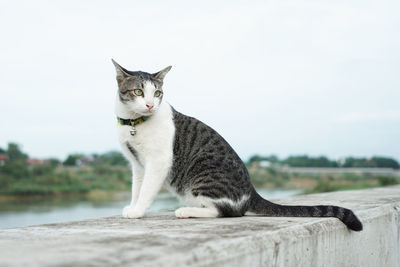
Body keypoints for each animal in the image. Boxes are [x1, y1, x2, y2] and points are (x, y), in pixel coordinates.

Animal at [111, 59, 362, 231]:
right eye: (138, 91)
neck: (134, 123)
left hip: (202, 173)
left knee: (226, 211)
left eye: (157, 93)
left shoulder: (158, 160)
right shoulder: (138, 164)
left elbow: (146, 190)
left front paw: (138, 211)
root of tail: (250, 191)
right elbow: (136, 188)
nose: (150, 105)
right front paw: (132, 207)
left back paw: (186, 211)